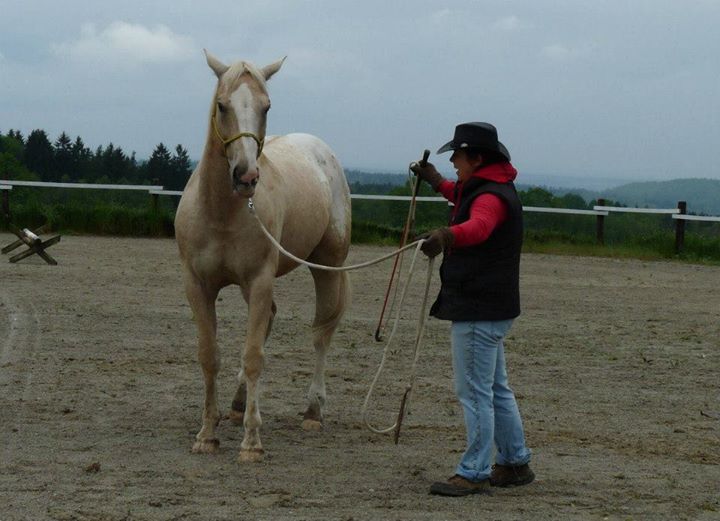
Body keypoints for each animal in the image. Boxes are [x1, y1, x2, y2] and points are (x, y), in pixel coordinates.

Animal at [177, 50, 352, 462]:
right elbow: (210, 355)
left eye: (266, 106)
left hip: (328, 265)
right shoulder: (198, 286)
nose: (245, 176)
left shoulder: (259, 281)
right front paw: (207, 434)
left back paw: (312, 411)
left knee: (322, 332)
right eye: (222, 105)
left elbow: (254, 355)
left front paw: (251, 442)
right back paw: (238, 404)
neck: (221, 212)